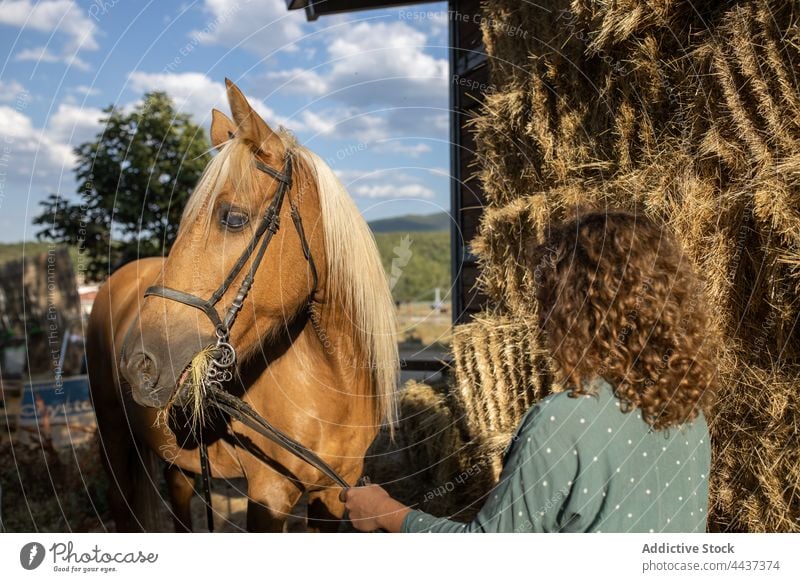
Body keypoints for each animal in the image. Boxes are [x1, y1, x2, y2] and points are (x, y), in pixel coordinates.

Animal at [86, 80, 398, 536]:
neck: (333, 383)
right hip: (113, 438)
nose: (137, 363)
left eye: (232, 218)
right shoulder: (269, 495)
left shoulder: (333, 494)